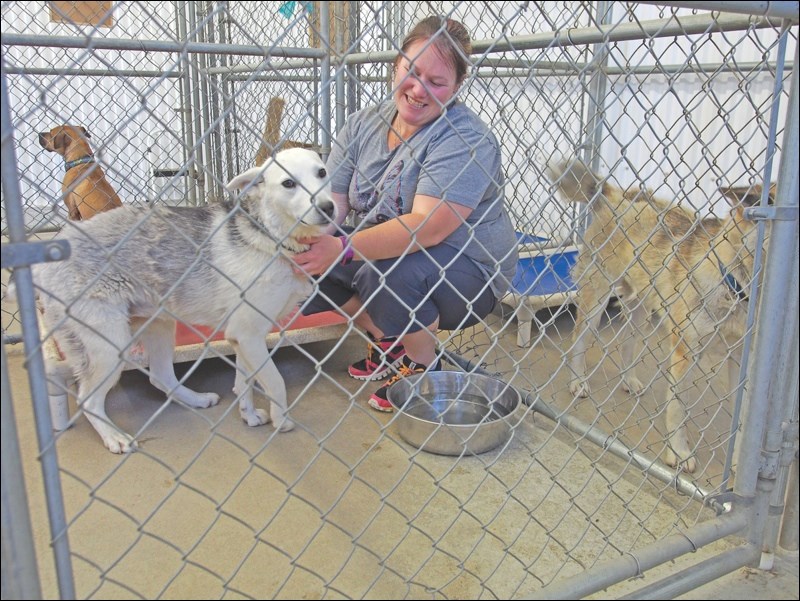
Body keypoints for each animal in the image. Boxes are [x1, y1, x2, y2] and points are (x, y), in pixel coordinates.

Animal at [28, 149, 334, 450]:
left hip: (159, 326)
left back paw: (196, 400)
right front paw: (281, 421)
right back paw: (113, 437)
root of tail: (45, 260)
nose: (328, 207)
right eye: (288, 183)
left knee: (160, 376)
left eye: (322, 172)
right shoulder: (248, 335)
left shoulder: (244, 337)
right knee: (88, 399)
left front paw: (248, 415)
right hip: (110, 345)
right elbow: (275, 382)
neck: (271, 235)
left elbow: (244, 381)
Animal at [552, 156, 776, 474]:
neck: (735, 287)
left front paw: (737, 463)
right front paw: (679, 454)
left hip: (641, 310)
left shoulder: (744, 358)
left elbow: (744, 419)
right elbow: (677, 409)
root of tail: (616, 194)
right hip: (597, 298)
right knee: (578, 339)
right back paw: (577, 381)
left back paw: (629, 380)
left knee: (627, 342)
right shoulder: (685, 352)